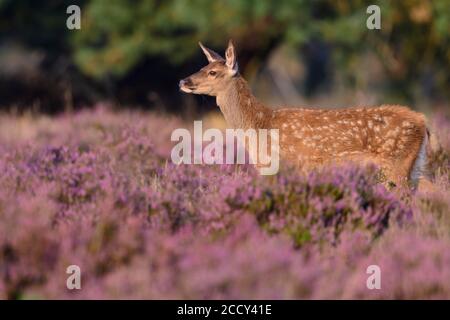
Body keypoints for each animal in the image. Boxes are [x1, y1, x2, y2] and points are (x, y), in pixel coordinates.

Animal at [178, 41, 428, 189]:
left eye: (212, 72)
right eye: (202, 67)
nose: (183, 81)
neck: (259, 125)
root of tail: (423, 123)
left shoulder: (279, 166)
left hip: (396, 164)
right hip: (415, 167)